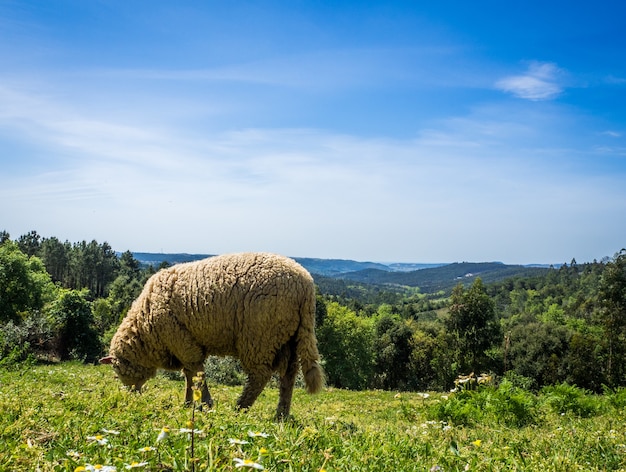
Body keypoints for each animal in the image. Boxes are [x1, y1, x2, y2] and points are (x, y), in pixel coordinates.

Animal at [98, 253, 322, 418]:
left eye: (118, 372)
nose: (132, 396)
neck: (146, 328)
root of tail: (305, 286)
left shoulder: (182, 341)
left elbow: (196, 372)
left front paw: (204, 403)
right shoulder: (186, 343)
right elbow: (189, 374)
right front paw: (189, 402)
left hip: (260, 336)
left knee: (260, 376)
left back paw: (240, 408)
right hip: (288, 337)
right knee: (288, 376)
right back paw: (281, 415)